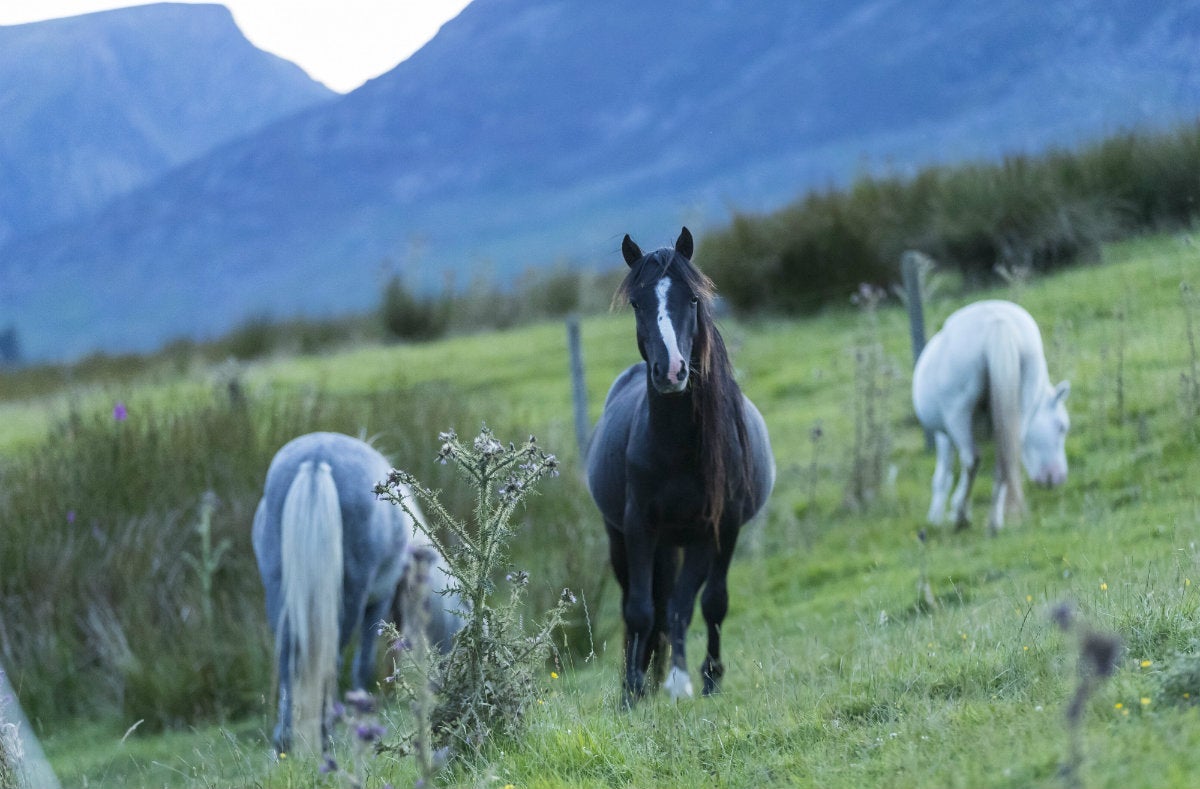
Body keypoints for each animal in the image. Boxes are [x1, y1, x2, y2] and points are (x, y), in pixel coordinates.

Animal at [252, 431, 462, 755]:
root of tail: (315, 460)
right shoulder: (378, 599)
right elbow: (363, 665)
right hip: (351, 596)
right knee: (332, 661)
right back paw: (326, 740)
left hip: (277, 588)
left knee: (288, 658)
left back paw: (284, 744)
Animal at [585, 227, 775, 708]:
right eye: (637, 303)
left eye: (692, 298)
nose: (671, 371)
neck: (679, 449)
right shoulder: (638, 526)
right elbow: (639, 610)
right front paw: (632, 691)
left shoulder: (718, 527)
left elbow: (703, 604)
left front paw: (696, 680)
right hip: (625, 539)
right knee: (643, 605)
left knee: (687, 602)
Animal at [912, 299, 1070, 533]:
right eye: (1062, 427)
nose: (1056, 477)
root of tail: (998, 320)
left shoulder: (944, 435)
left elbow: (943, 476)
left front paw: (937, 517)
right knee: (1004, 461)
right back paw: (994, 523)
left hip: (957, 416)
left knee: (972, 459)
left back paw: (962, 516)